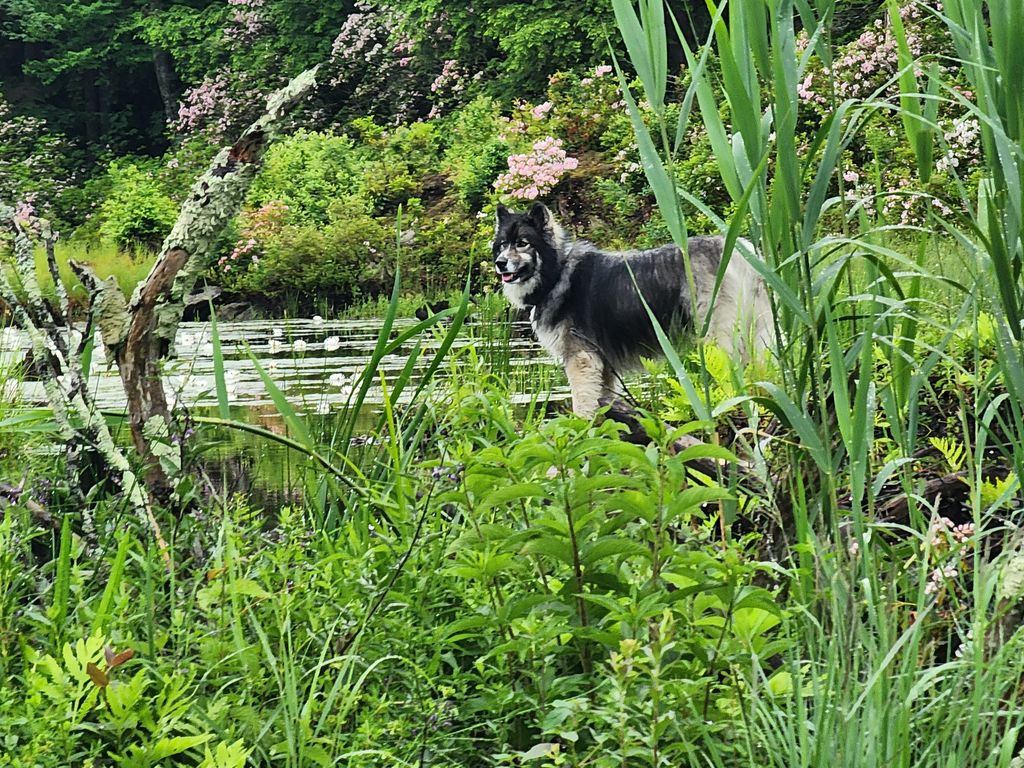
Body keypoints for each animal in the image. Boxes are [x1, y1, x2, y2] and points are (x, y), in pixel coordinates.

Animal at [491, 204, 770, 417]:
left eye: (523, 243)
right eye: (503, 244)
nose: (500, 263)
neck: (558, 272)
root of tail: (742, 251)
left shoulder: (581, 360)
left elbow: (582, 407)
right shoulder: (603, 366)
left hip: (718, 338)